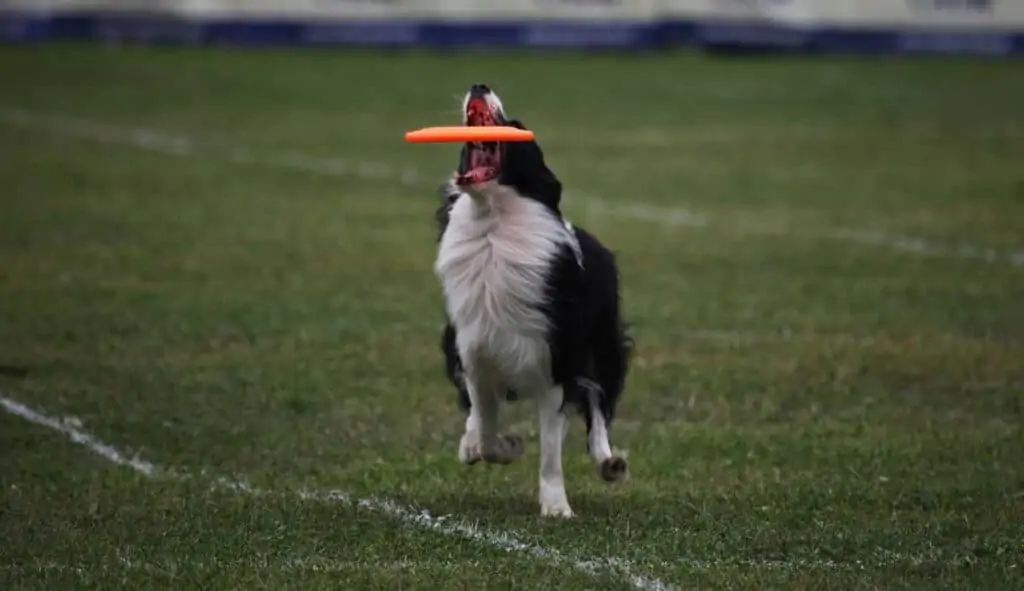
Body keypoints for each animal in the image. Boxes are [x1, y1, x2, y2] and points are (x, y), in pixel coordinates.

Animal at [432, 82, 630, 516]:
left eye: (518, 127)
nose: (480, 85)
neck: (492, 227)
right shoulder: (473, 353)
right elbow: (485, 426)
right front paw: (501, 446)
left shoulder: (556, 360)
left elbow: (552, 449)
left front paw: (556, 508)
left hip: (603, 343)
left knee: (599, 405)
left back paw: (609, 463)